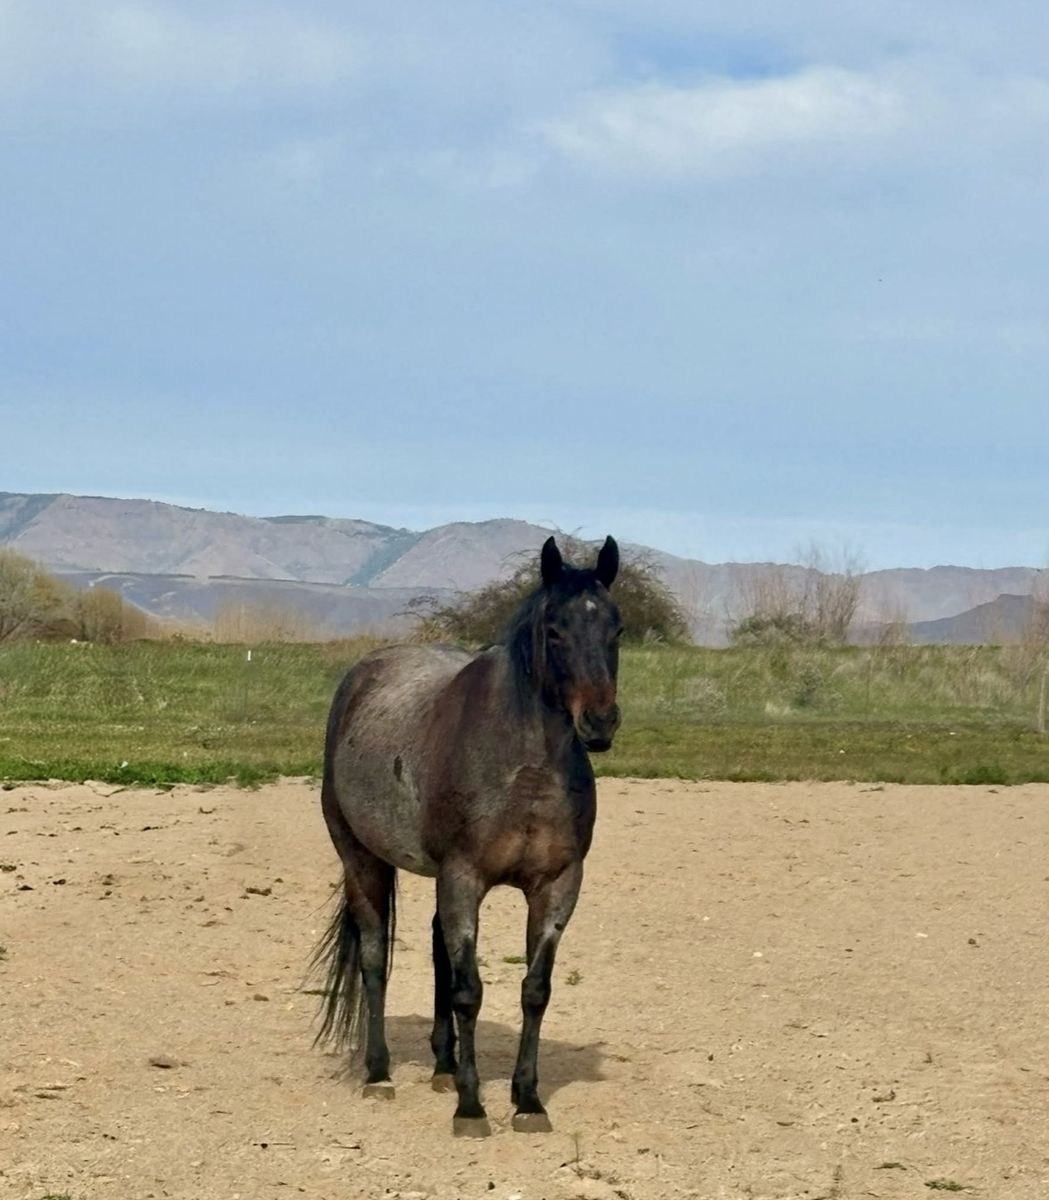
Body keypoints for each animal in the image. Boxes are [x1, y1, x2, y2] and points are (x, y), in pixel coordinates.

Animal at [312, 534, 623, 1136]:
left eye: (616, 627)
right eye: (555, 629)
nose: (600, 721)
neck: (526, 771)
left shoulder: (557, 886)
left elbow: (534, 990)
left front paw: (527, 1101)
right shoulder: (463, 878)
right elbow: (469, 990)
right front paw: (472, 1106)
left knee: (437, 949)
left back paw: (443, 1066)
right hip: (362, 858)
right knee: (374, 959)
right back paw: (380, 1073)